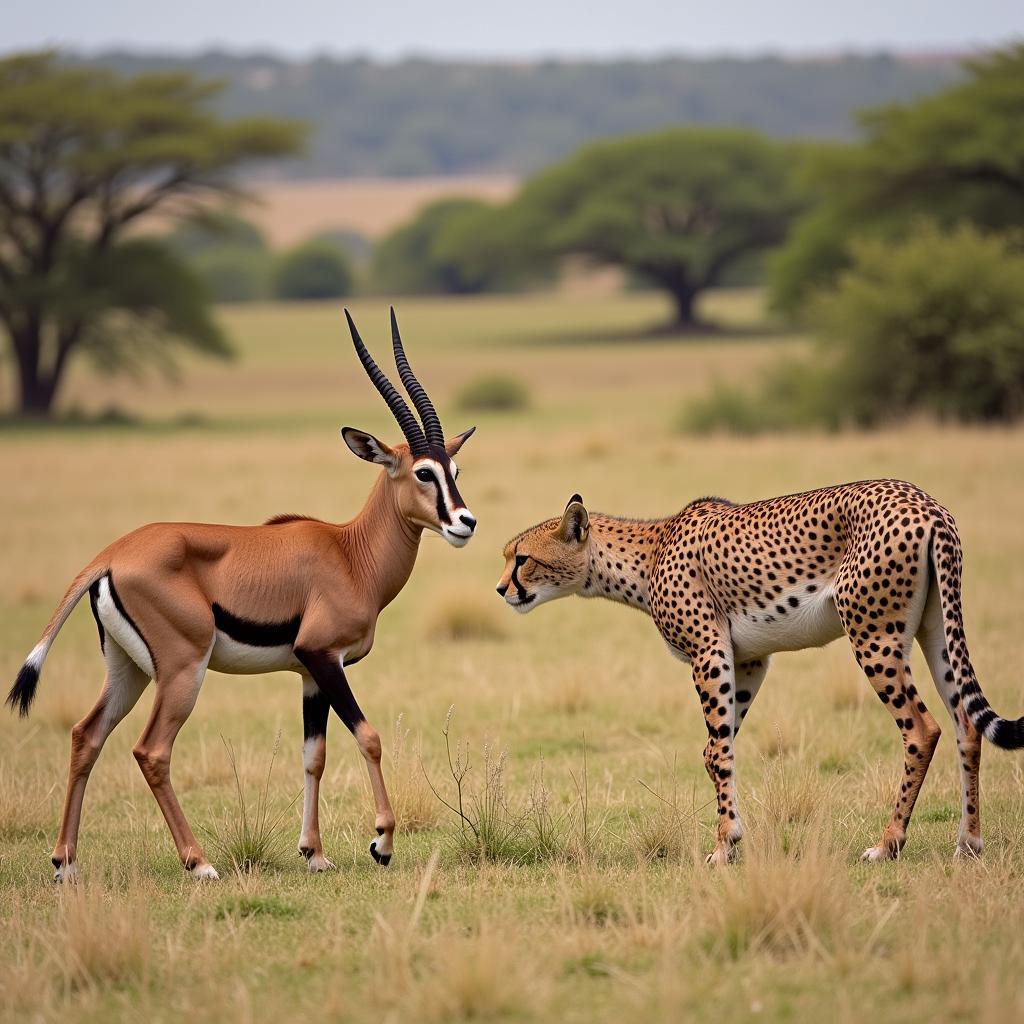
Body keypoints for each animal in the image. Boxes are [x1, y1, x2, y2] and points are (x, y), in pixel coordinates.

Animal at [493, 479, 1015, 864]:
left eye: (523, 559)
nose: (501, 590)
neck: (649, 552)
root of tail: (925, 503)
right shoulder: (747, 660)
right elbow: (714, 749)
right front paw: (728, 838)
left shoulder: (709, 652)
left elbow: (719, 753)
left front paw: (725, 846)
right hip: (935, 631)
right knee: (966, 723)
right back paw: (969, 843)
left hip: (873, 635)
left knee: (923, 729)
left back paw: (888, 843)